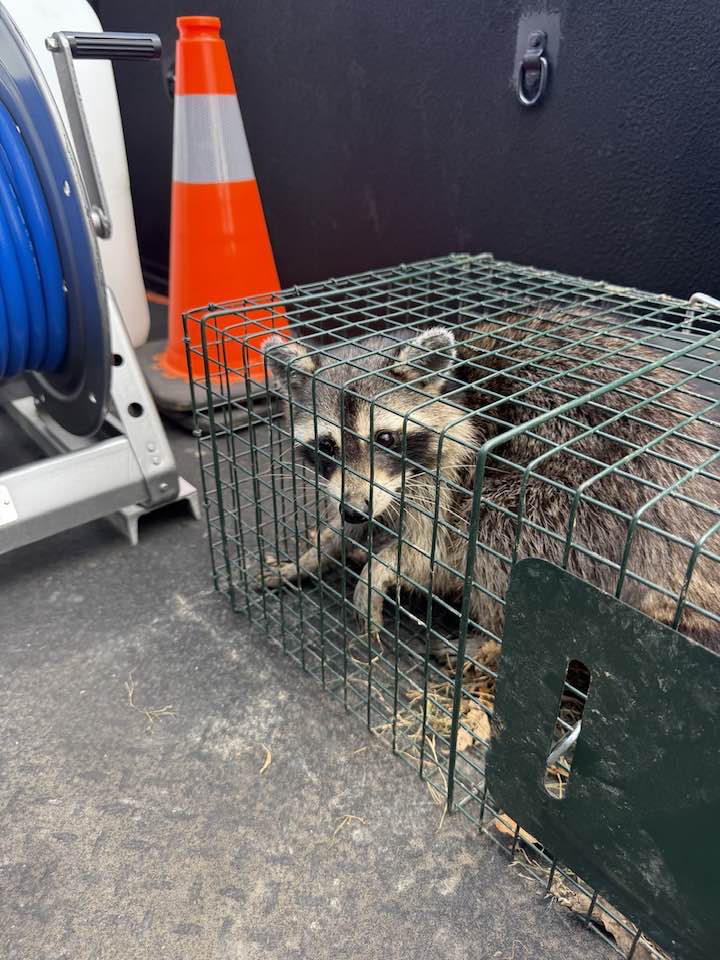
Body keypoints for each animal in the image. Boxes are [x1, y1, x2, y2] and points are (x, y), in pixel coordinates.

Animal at [262, 309, 720, 659]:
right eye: (327, 445)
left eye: (385, 438)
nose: (355, 510)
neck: (456, 393)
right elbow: (349, 524)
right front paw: (315, 551)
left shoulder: (450, 477)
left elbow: (432, 554)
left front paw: (380, 568)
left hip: (598, 510)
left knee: (492, 532)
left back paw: (493, 638)